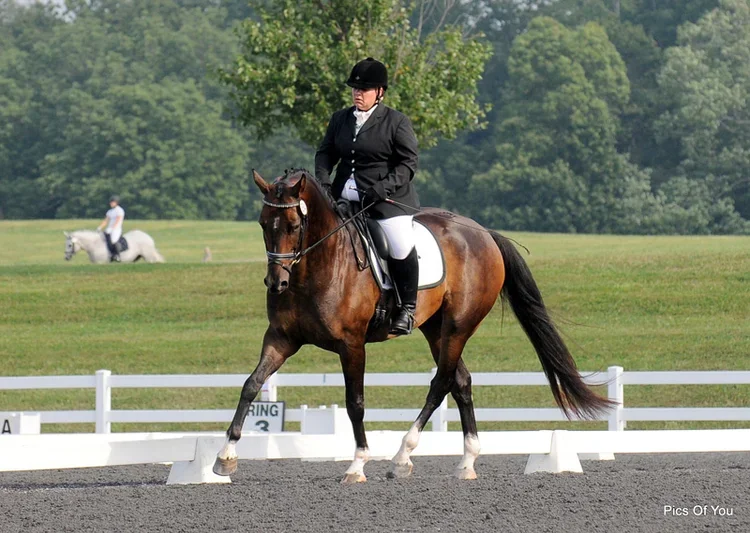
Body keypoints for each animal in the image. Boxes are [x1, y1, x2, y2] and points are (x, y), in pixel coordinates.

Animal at [214, 169, 613, 484]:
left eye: (295, 226)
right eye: (263, 224)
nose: (275, 283)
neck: (316, 267)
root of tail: (483, 233)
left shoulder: (351, 344)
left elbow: (355, 402)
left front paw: (357, 465)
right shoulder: (281, 338)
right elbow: (251, 385)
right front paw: (224, 457)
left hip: (458, 326)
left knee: (441, 383)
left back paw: (402, 457)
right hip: (435, 328)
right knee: (461, 381)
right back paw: (467, 461)